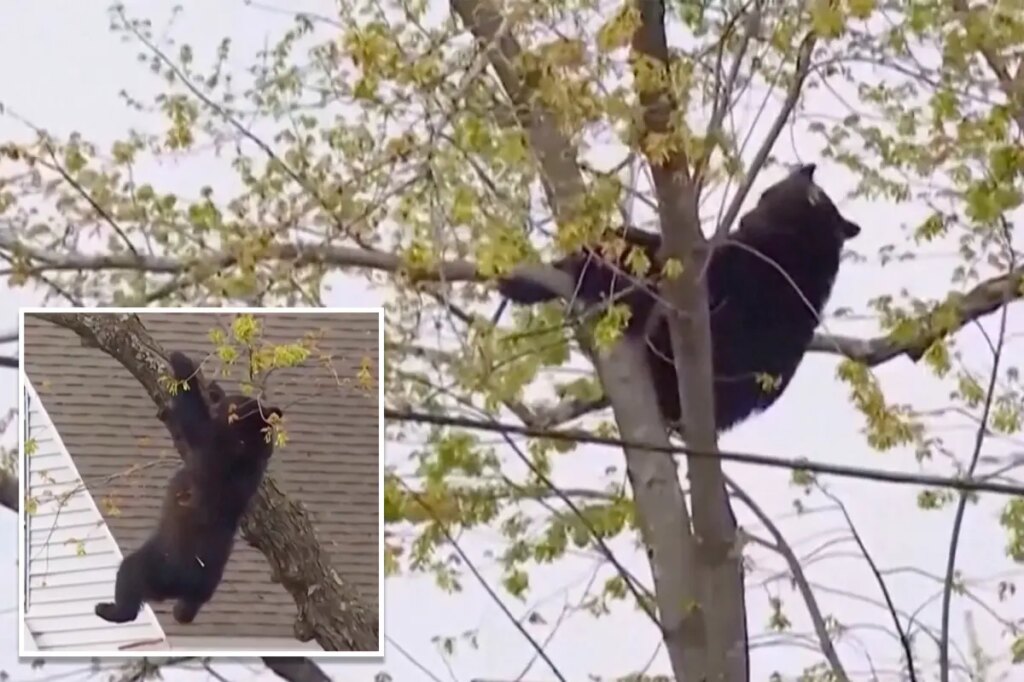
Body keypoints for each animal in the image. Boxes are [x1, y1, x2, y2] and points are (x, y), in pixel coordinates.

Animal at [94, 351, 283, 625]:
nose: (222, 394)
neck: (247, 445)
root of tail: (186, 584)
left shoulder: (213, 445)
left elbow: (192, 419)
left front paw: (182, 361)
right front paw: (212, 387)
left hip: (157, 562)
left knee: (129, 576)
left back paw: (109, 609)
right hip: (201, 585)